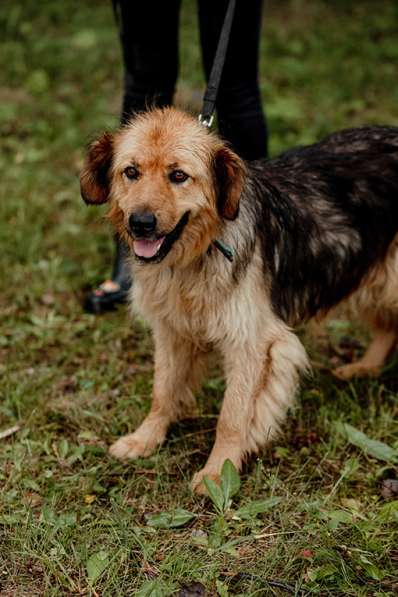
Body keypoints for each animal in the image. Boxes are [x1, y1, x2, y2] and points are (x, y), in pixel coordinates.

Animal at [80, 108, 398, 494]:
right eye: (130, 172)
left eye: (178, 176)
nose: (141, 223)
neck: (195, 256)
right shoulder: (172, 330)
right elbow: (162, 391)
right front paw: (145, 438)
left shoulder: (251, 342)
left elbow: (231, 416)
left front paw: (218, 472)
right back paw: (365, 366)